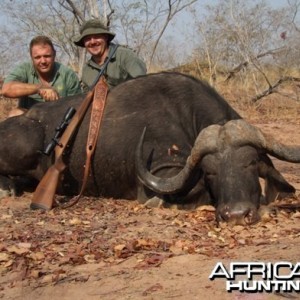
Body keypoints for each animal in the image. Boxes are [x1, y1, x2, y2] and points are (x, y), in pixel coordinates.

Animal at [0, 71, 300, 224]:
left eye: (250, 163)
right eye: (210, 172)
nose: (236, 215)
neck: (185, 113)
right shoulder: (163, 171)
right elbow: (197, 191)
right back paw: (8, 188)